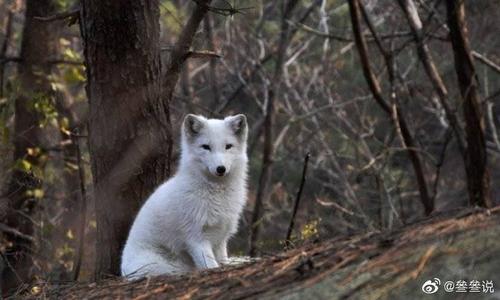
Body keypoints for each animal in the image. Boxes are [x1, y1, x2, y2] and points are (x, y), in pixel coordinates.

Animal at [121, 113, 250, 278]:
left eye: (228, 146)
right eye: (206, 147)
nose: (220, 169)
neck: (217, 195)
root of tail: (122, 269)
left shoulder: (221, 239)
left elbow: (222, 261)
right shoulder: (196, 238)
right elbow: (211, 265)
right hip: (166, 266)